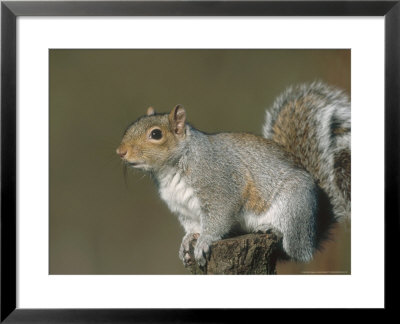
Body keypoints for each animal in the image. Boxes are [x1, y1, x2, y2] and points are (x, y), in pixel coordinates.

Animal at [116, 82, 350, 268]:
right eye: (131, 126)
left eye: (156, 134)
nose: (120, 151)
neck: (171, 169)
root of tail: (314, 230)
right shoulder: (183, 209)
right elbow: (192, 227)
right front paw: (188, 240)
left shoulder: (219, 186)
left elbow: (219, 218)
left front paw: (204, 240)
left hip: (295, 209)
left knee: (294, 251)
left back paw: (273, 229)